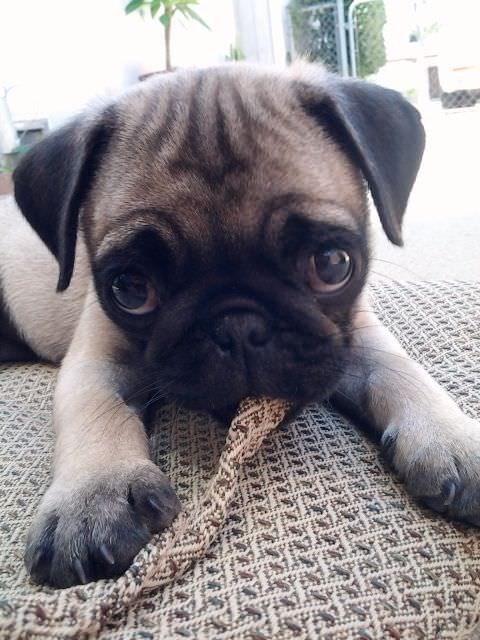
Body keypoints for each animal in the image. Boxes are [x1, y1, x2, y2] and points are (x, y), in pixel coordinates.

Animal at [0, 62, 480, 588]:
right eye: (131, 289)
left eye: (332, 264)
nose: (238, 327)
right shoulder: (95, 354)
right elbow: (94, 408)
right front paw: (92, 497)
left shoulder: (355, 335)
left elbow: (403, 373)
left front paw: (454, 436)